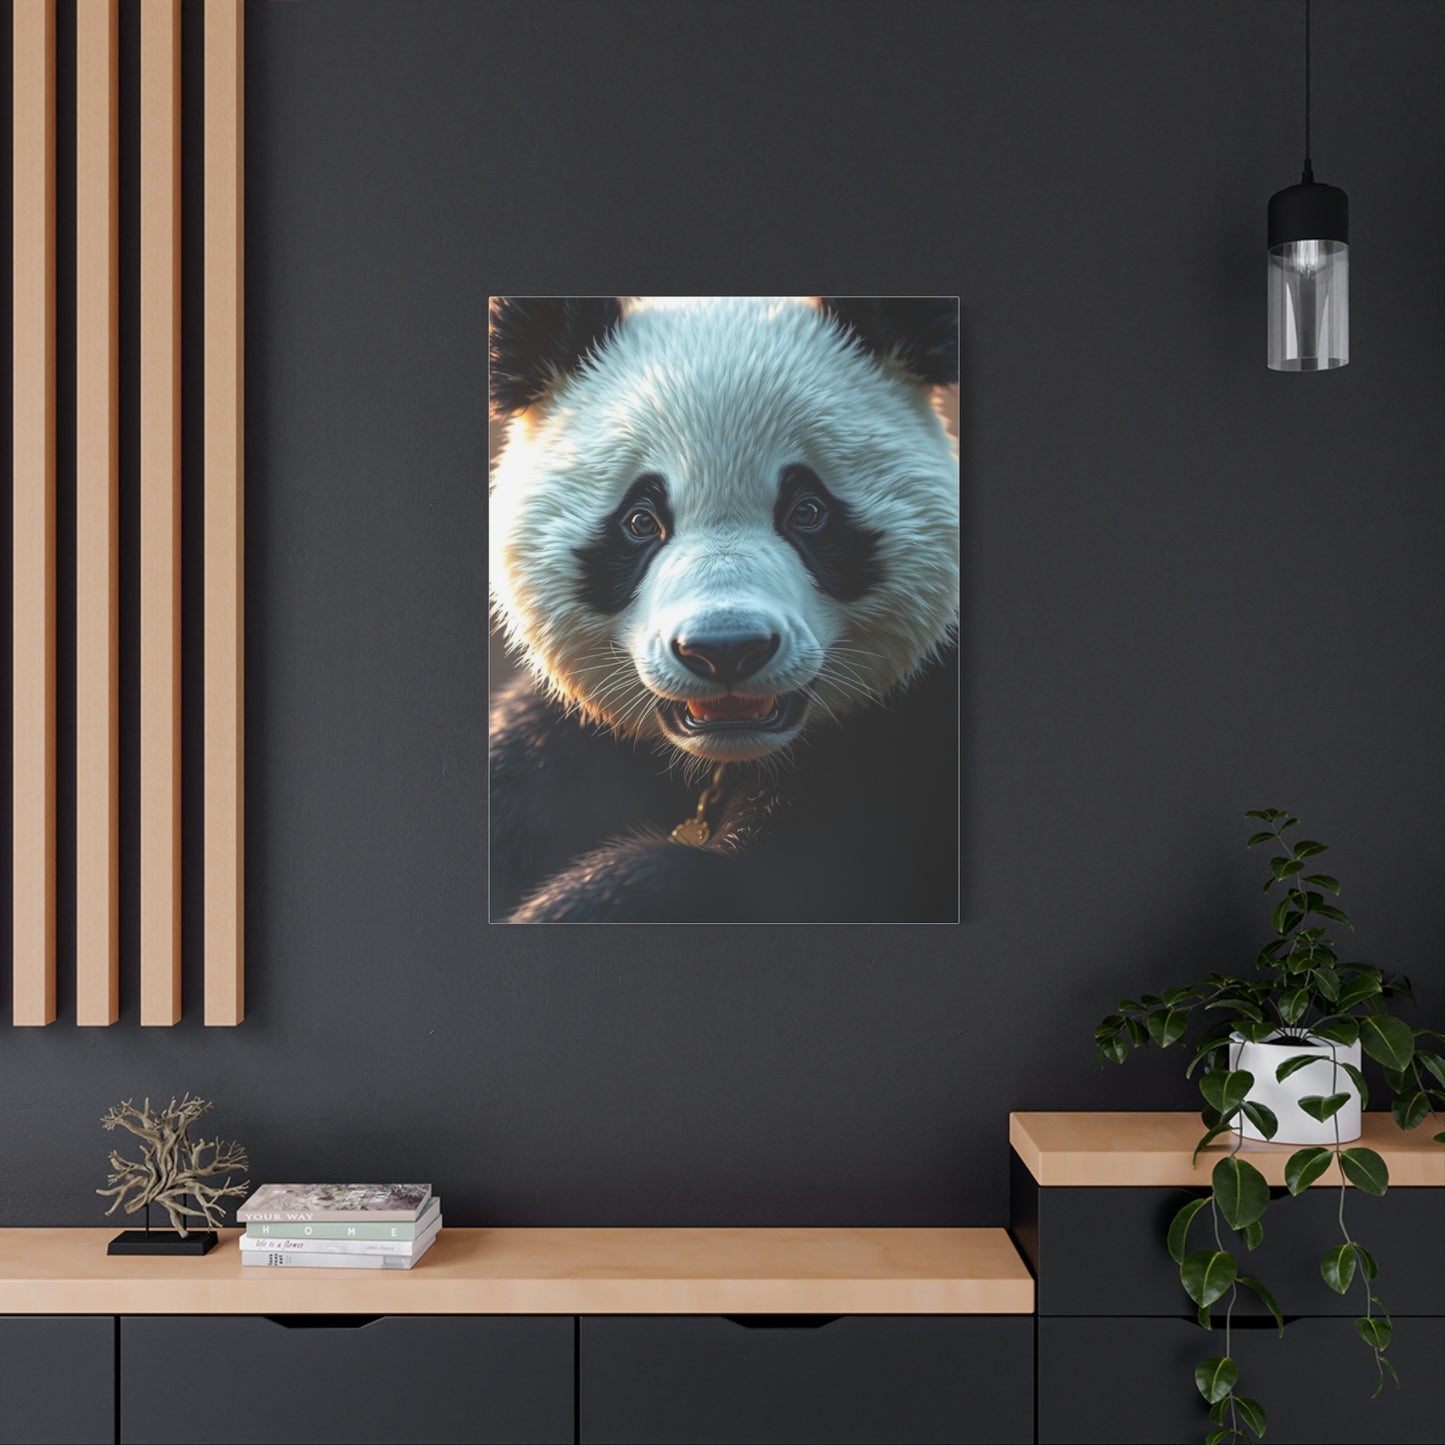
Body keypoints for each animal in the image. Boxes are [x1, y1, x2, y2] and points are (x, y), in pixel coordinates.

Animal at [488, 296, 959, 924]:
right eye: (641, 521)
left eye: (807, 511)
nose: (726, 649)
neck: (725, 759)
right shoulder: (565, 748)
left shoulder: (910, 751)